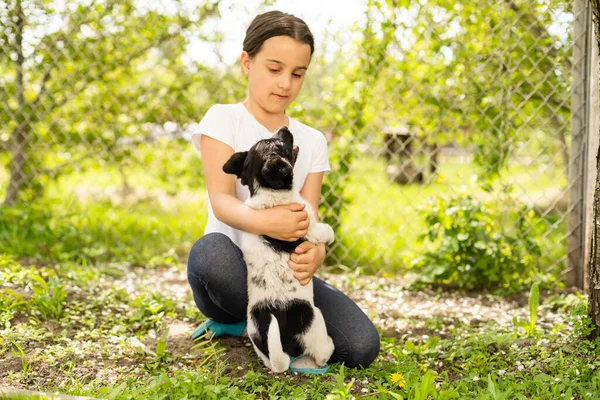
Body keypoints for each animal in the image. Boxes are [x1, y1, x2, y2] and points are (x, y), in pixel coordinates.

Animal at [223, 127, 336, 372]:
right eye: (278, 144)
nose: (284, 128)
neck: (269, 194)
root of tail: (284, 352)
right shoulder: (309, 228)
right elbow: (322, 230)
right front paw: (330, 233)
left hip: (260, 340)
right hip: (316, 319)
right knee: (322, 354)